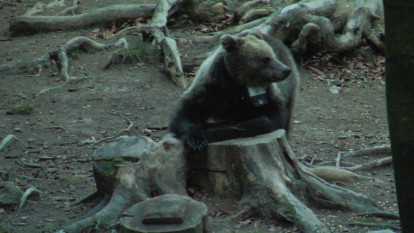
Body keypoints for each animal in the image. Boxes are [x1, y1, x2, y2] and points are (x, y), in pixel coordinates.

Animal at [169, 29, 300, 152]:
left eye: (273, 55)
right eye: (266, 59)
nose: (286, 70)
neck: (236, 83)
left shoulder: (268, 92)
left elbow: (276, 115)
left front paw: (244, 126)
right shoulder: (211, 88)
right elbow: (187, 111)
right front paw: (196, 141)